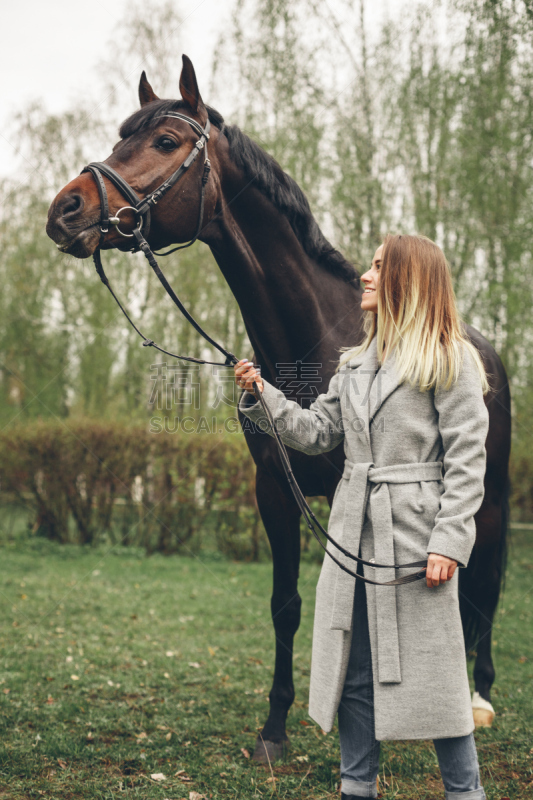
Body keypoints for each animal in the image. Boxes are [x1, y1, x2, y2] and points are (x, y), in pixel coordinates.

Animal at [47, 54, 510, 764]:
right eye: (121, 137)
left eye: (165, 142)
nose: (66, 209)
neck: (313, 338)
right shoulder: (274, 489)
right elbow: (285, 604)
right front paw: (275, 728)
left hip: (490, 497)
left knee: (482, 586)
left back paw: (478, 695)